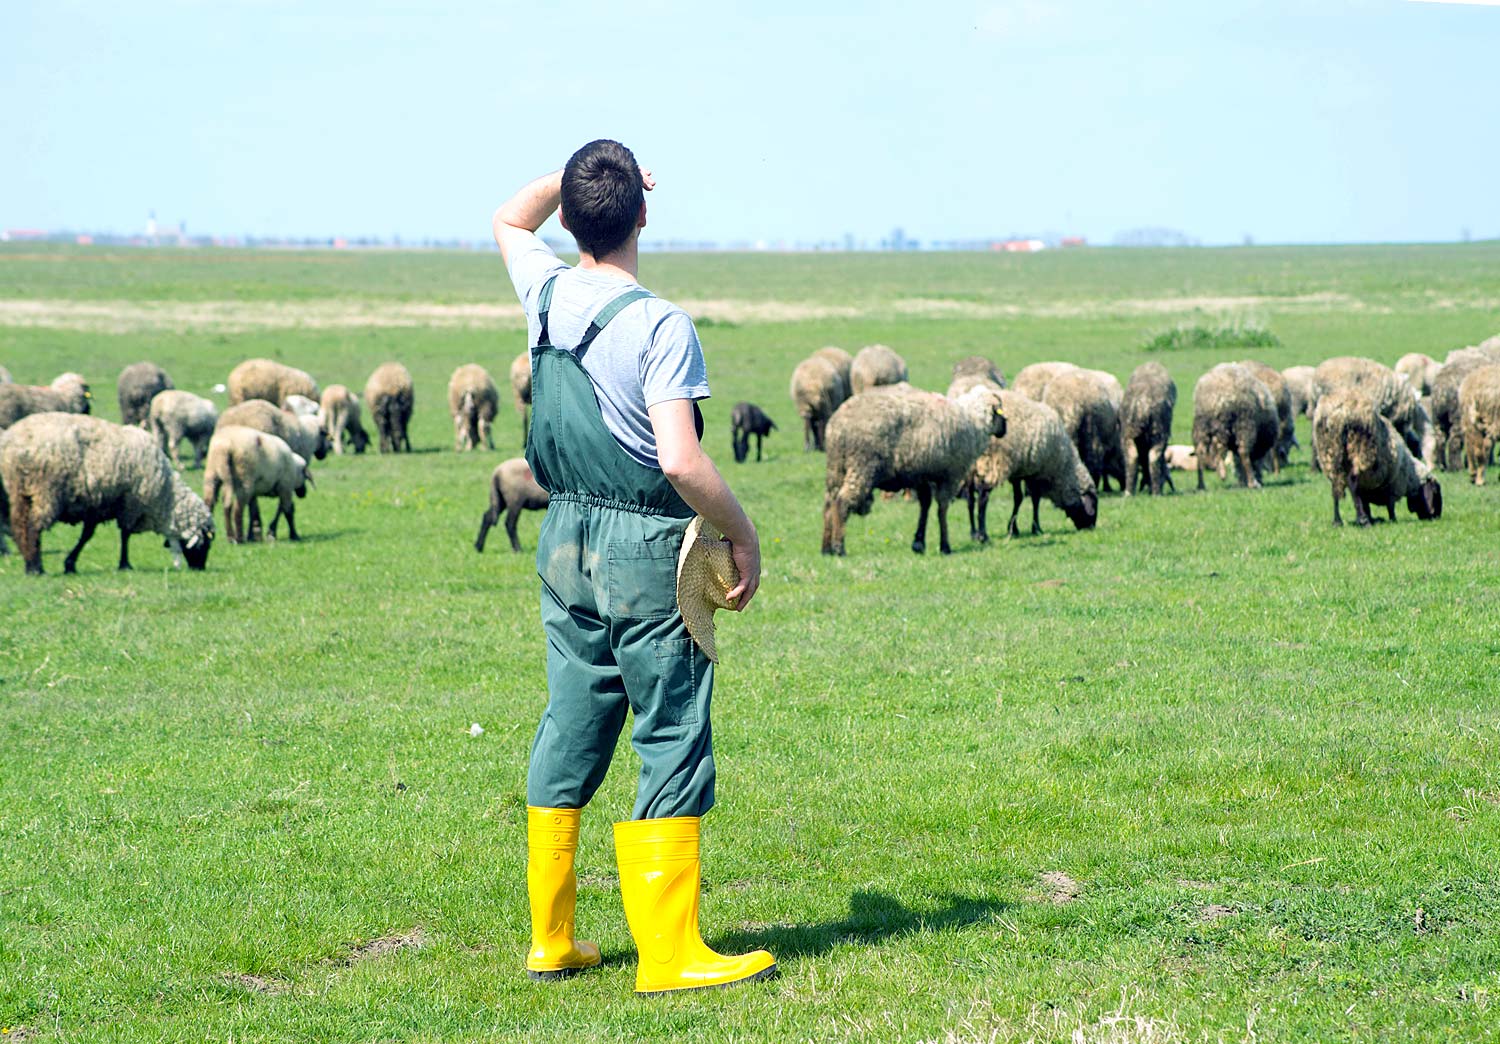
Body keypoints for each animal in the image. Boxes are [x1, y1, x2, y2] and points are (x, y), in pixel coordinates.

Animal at [0, 411, 214, 576]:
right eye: (205, 545)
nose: (200, 568)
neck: (166, 496)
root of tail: (14, 442)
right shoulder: (130, 503)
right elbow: (125, 534)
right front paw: (125, 564)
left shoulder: (97, 503)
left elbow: (87, 535)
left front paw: (70, 564)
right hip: (45, 491)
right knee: (32, 528)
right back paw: (35, 567)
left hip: (20, 491)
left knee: (19, 526)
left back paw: (30, 563)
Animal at [822, 384, 1008, 558]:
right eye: (1000, 410)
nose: (1004, 429)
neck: (973, 421)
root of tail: (838, 424)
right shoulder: (950, 475)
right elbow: (942, 509)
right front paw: (945, 546)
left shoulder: (921, 476)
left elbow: (925, 505)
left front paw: (919, 543)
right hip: (862, 465)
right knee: (842, 502)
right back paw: (839, 547)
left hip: (836, 468)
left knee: (829, 503)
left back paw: (826, 548)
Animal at [966, 387, 1098, 543]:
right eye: (1094, 506)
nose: (1090, 528)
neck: (1062, 466)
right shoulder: (1037, 472)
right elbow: (1035, 499)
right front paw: (1035, 528)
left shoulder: (1019, 471)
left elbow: (1018, 498)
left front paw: (1014, 529)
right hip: (991, 463)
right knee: (982, 498)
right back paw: (982, 535)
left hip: (968, 468)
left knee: (970, 499)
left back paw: (973, 533)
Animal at [1122, 361, 1176, 495]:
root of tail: (1144, 404)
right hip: (1158, 432)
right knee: (1154, 457)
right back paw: (1156, 492)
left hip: (1128, 433)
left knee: (1132, 457)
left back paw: (1129, 492)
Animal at [1314, 387, 1440, 525]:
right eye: (1436, 493)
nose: (1436, 517)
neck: (1410, 476)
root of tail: (1338, 414)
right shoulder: (1392, 485)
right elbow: (1390, 506)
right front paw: (1392, 519)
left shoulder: (1368, 485)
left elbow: (1365, 502)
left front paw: (1371, 517)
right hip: (1359, 450)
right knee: (1352, 482)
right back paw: (1363, 520)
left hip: (1329, 452)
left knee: (1335, 485)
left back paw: (1337, 521)